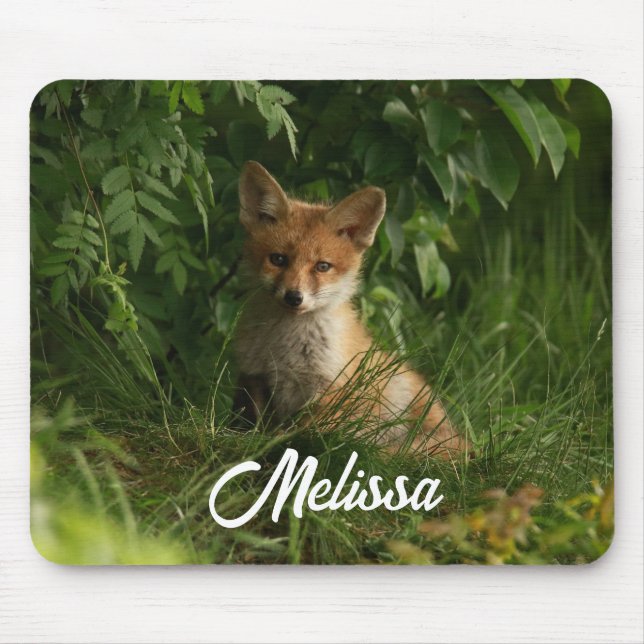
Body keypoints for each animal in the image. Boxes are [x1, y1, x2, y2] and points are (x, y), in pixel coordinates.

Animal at [232, 161, 469, 459]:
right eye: (278, 259)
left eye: (322, 266)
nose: (294, 297)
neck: (284, 347)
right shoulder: (255, 376)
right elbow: (256, 423)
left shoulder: (332, 389)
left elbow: (302, 432)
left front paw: (277, 443)